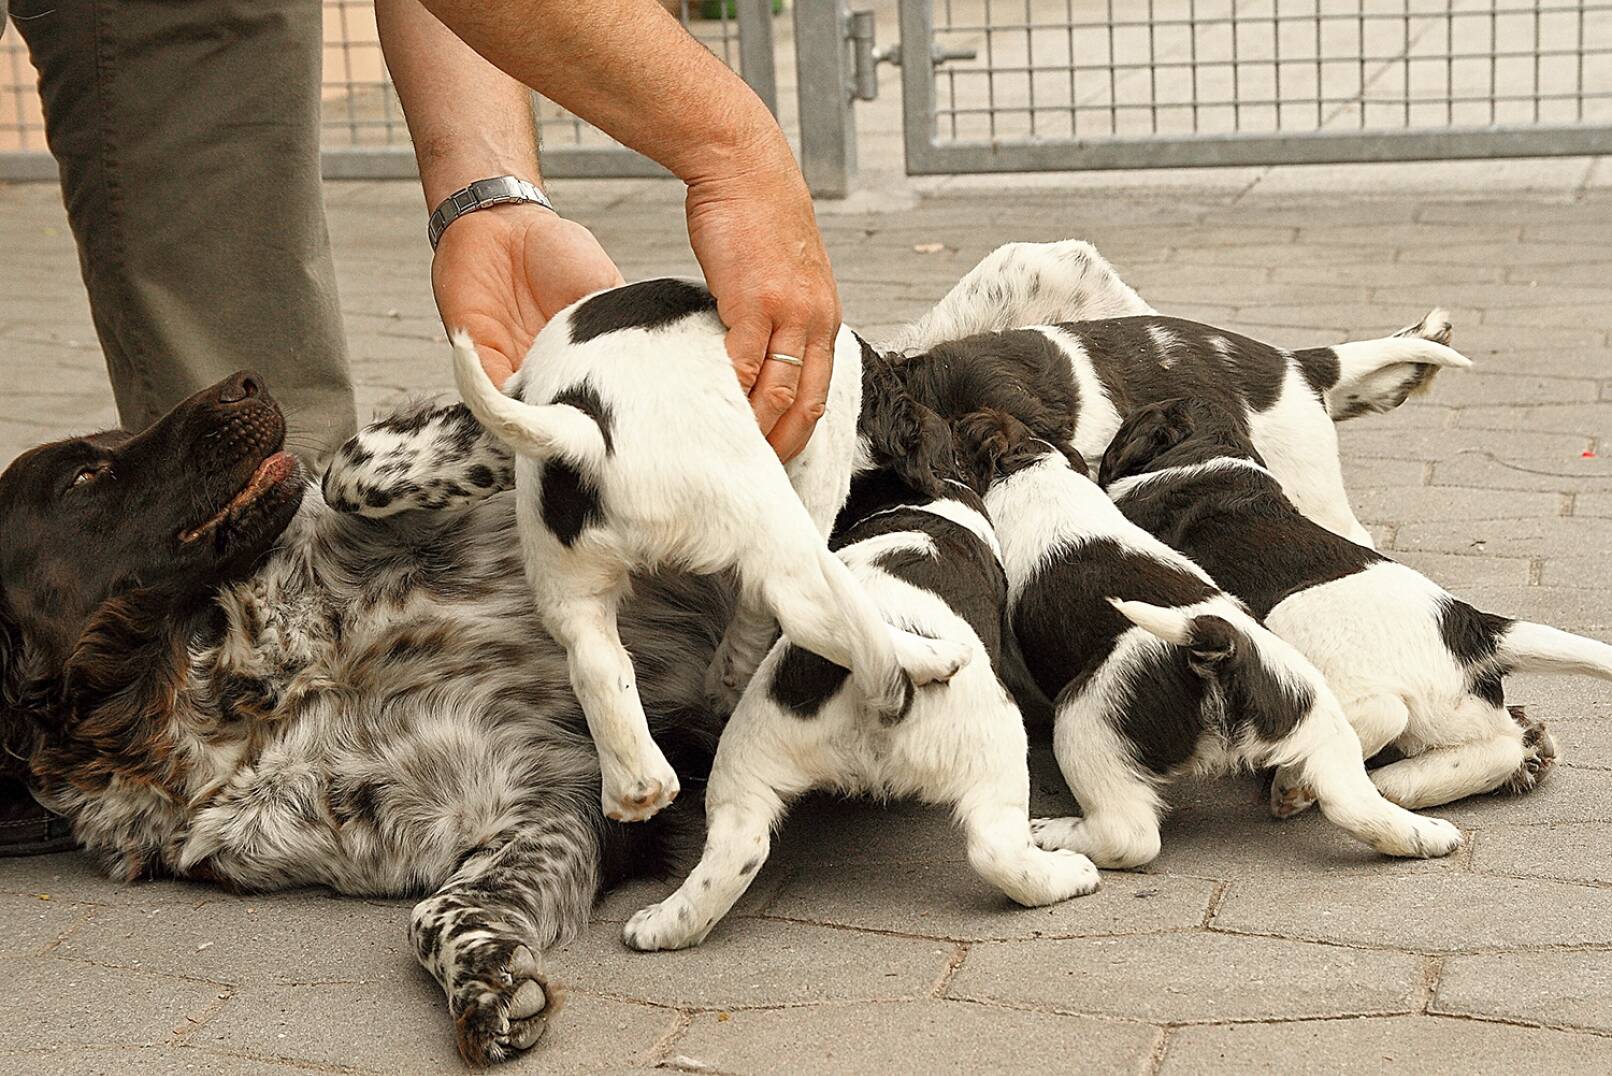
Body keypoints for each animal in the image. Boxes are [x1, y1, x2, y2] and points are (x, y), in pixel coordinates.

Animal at [615, 398, 1096, 948]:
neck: (915, 496)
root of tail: (879, 689)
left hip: (752, 748)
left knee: (737, 850)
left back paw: (657, 926)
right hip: (991, 741)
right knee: (997, 851)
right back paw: (1071, 874)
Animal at [960, 408, 1470, 871]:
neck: (1032, 466)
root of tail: (1225, 654)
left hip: (1087, 721)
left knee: (1130, 838)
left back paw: (1055, 834)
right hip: (1314, 710)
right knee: (1352, 797)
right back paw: (1425, 834)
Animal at [1102, 400, 1612, 813]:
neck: (1208, 453)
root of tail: (1474, 629)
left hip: (1299, 619)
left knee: (1375, 715)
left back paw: (1295, 781)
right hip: (1454, 714)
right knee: (1496, 745)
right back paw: (1400, 782)